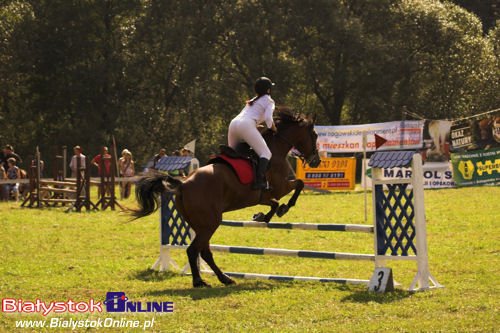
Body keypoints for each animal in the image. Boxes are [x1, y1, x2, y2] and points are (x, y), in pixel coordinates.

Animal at [133, 108, 322, 286]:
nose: (316, 161)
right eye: (315, 135)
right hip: (210, 223)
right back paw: (200, 281)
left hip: (200, 225)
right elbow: (299, 184)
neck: (276, 149)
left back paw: (224, 278)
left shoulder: (263, 196)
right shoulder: (280, 187)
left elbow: (274, 203)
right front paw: (285, 207)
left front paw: (261, 216)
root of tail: (183, 183)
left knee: (205, 252)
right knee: (194, 250)